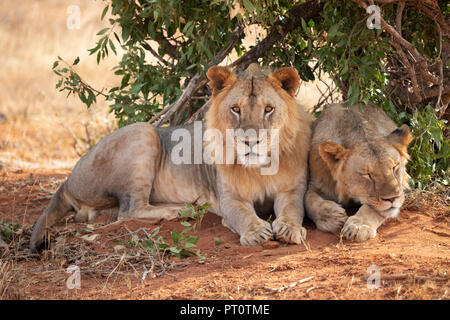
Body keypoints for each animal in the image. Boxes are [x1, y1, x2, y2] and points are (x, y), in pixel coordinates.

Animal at [30, 63, 312, 251]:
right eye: (235, 109)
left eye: (269, 109)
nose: (250, 142)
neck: (260, 167)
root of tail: (67, 180)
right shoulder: (230, 198)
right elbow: (242, 215)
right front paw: (256, 232)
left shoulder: (292, 190)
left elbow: (292, 209)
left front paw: (289, 228)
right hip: (143, 132)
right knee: (130, 210)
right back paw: (179, 210)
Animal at [304, 104, 414, 241]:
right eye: (367, 175)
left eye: (394, 167)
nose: (393, 198)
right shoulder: (317, 183)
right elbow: (308, 199)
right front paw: (333, 217)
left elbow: (371, 209)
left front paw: (359, 226)